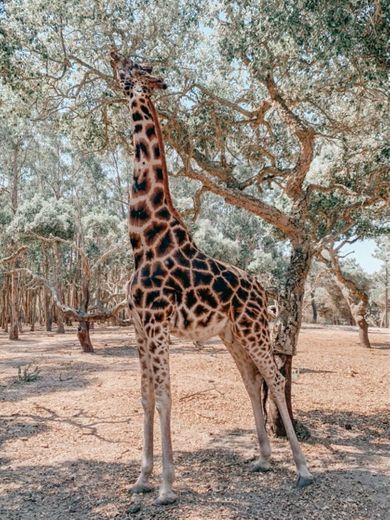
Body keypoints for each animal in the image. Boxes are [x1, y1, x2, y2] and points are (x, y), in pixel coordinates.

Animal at [109, 50, 314, 506]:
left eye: (135, 65)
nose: (112, 57)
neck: (145, 239)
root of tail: (262, 289)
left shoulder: (157, 323)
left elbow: (165, 398)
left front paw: (167, 488)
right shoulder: (137, 326)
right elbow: (145, 398)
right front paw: (141, 480)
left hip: (254, 328)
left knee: (274, 378)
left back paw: (303, 470)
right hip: (231, 334)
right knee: (251, 380)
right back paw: (263, 460)